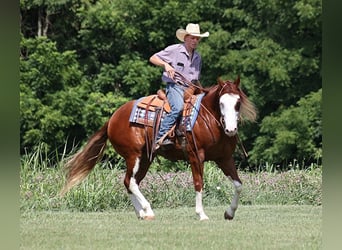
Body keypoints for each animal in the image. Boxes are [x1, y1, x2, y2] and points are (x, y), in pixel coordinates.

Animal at [60, 76, 256, 221]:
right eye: (221, 103)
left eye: (238, 103)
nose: (231, 129)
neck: (207, 119)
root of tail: (113, 118)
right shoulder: (195, 156)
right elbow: (199, 183)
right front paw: (201, 214)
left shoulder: (224, 158)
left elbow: (238, 184)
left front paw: (229, 213)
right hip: (133, 156)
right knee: (131, 181)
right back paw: (147, 209)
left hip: (146, 158)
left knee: (129, 182)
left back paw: (142, 213)